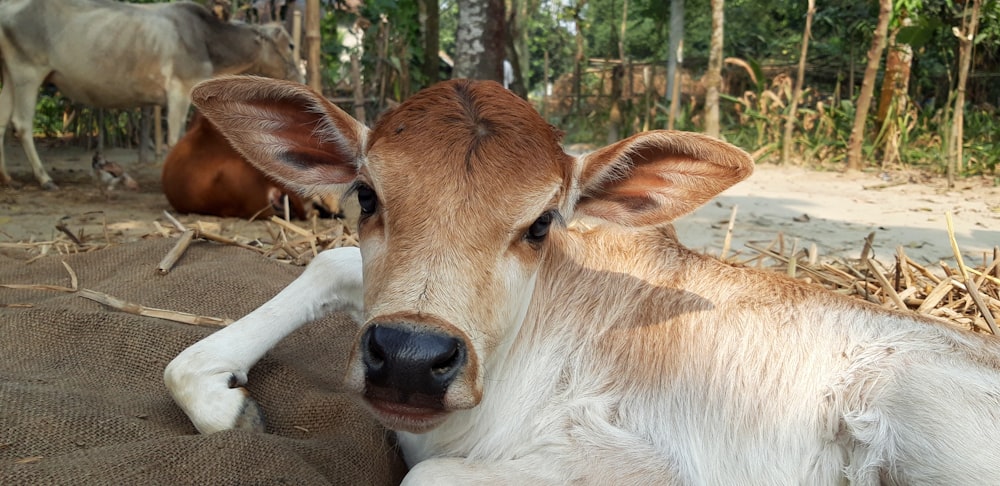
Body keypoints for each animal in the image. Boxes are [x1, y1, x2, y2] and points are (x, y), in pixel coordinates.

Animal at [0, 0, 302, 189]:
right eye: (290, 44)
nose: (300, 78)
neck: (207, 40)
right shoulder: (179, 90)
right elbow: (175, 139)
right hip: (27, 72)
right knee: (21, 124)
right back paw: (44, 179)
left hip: (10, 76)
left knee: (2, 122)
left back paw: (7, 178)